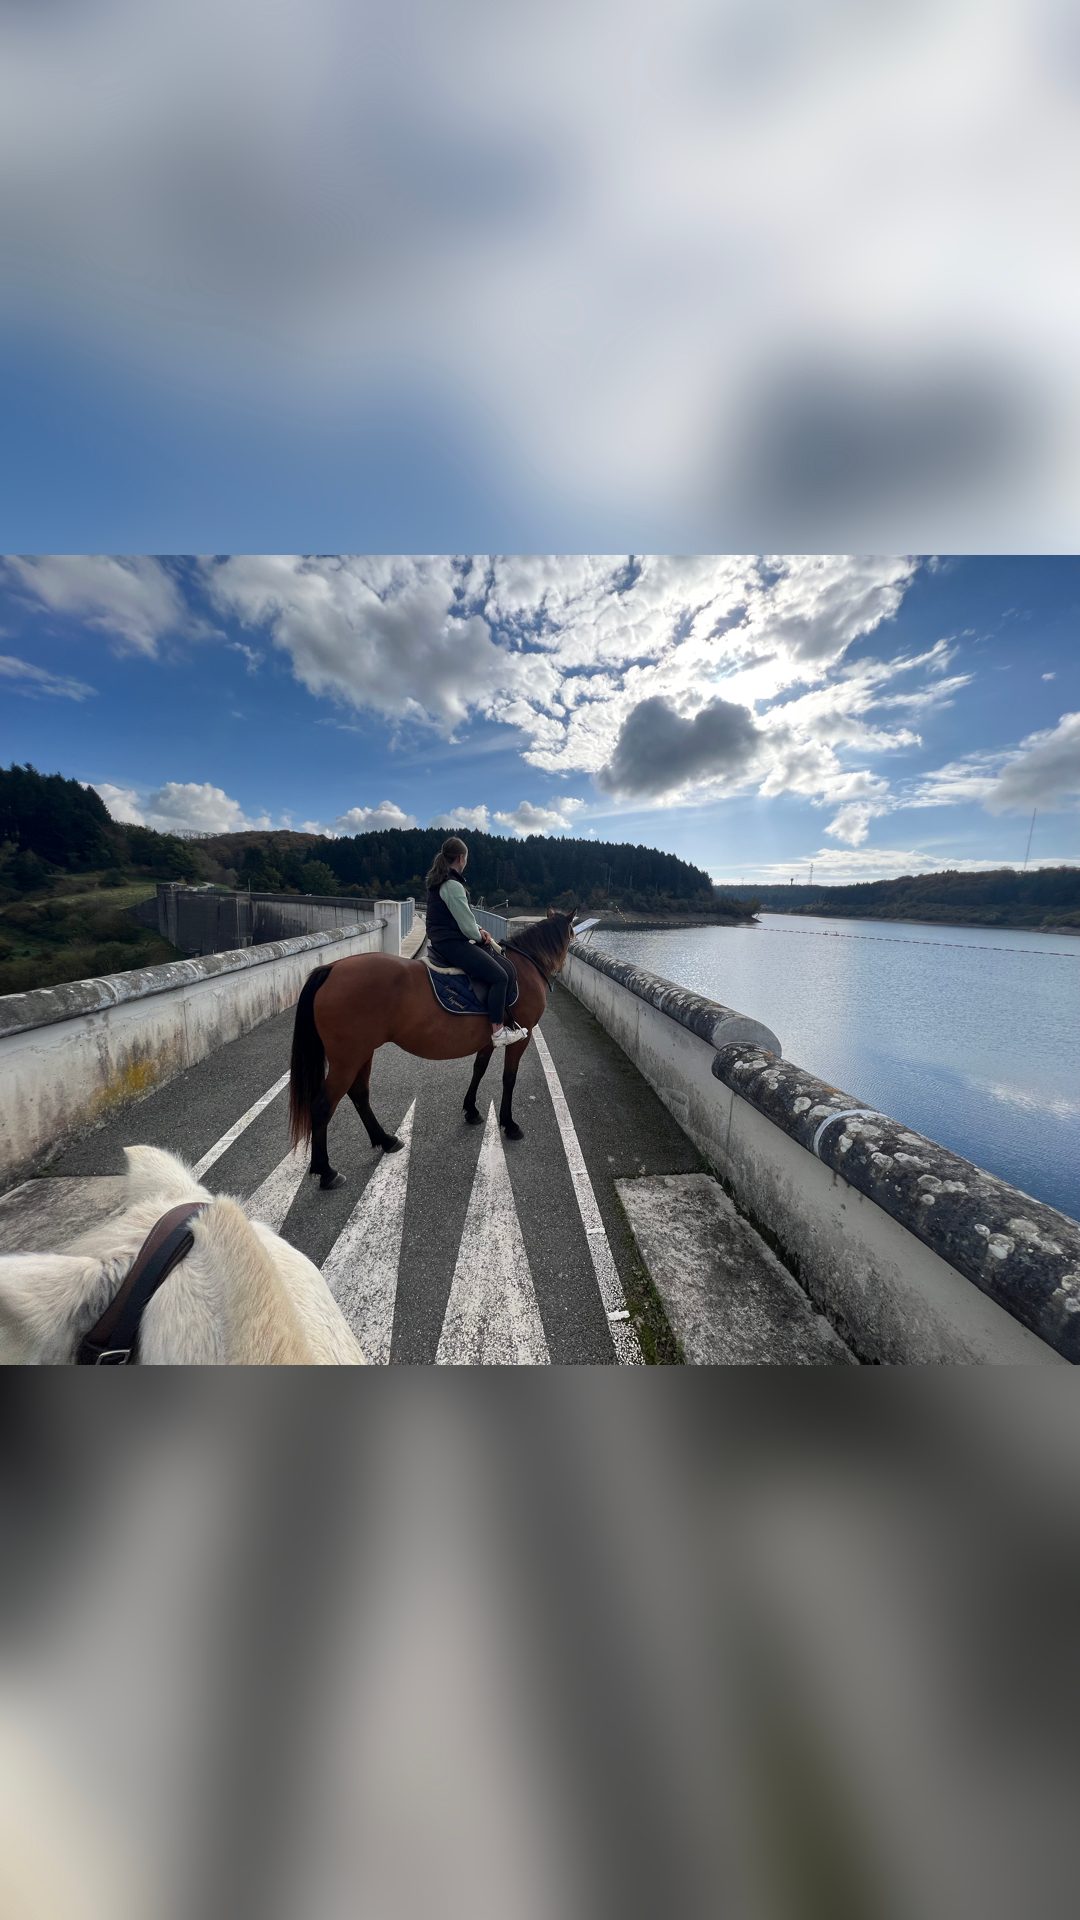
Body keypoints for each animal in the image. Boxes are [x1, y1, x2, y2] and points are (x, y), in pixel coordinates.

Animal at [289, 909, 579, 1189]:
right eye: (572, 935)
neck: (526, 965)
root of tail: (332, 967)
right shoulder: (521, 1038)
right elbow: (509, 1078)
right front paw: (508, 1123)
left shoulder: (488, 1040)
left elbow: (479, 1069)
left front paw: (471, 1110)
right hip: (347, 1058)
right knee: (323, 1105)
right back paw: (326, 1171)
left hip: (361, 1053)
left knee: (359, 1094)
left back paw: (385, 1140)